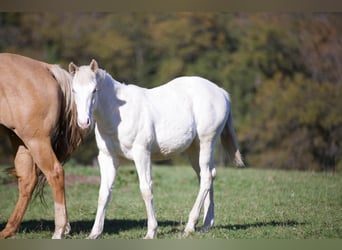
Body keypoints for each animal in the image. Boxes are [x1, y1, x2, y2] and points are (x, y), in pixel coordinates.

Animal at [0, 53, 83, 238]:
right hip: (20, 140)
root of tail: (46, 67)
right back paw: (8, 230)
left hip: (36, 140)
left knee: (55, 173)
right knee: (27, 179)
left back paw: (59, 230)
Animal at [69, 59, 243, 239]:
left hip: (207, 141)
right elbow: (104, 193)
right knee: (207, 175)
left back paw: (190, 226)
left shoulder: (142, 154)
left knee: (207, 178)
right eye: (74, 90)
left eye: (94, 90)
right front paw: (94, 233)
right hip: (195, 148)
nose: (84, 123)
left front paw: (151, 231)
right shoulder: (107, 158)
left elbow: (146, 189)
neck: (119, 114)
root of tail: (221, 92)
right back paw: (206, 224)